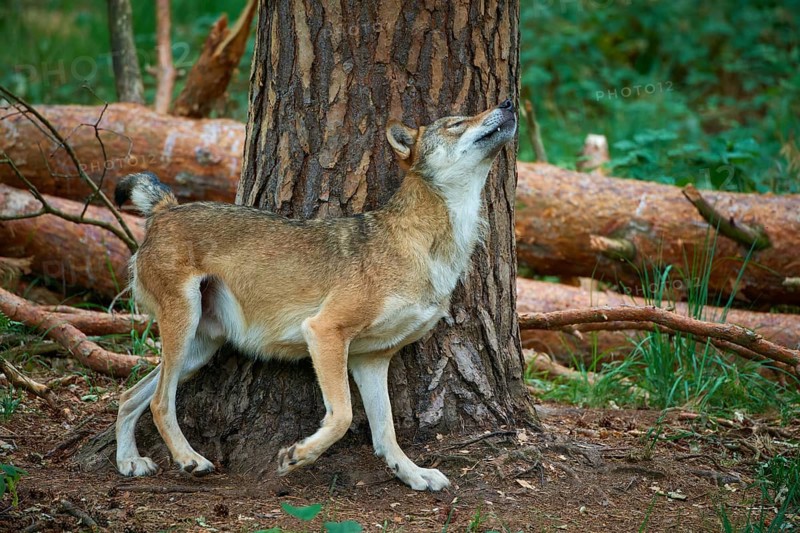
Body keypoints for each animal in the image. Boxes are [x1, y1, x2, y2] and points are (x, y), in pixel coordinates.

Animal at [113, 100, 517, 491]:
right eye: (457, 123)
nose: (509, 103)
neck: (429, 246)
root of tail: (166, 209)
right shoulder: (324, 331)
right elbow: (342, 416)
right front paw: (297, 456)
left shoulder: (372, 360)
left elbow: (385, 433)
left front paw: (412, 474)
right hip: (184, 331)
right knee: (159, 402)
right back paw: (188, 459)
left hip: (198, 350)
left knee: (130, 396)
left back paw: (129, 462)